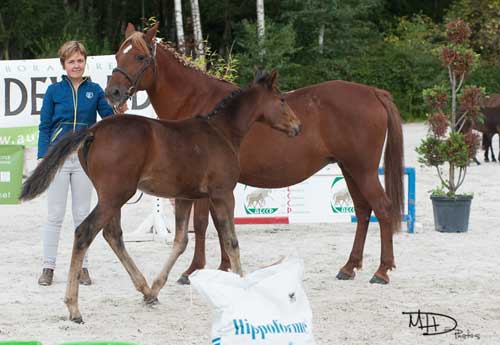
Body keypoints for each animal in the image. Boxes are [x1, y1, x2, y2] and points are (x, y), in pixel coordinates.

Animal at [19, 70, 300, 322]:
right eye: (281, 99)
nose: (298, 126)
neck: (221, 133)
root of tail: (94, 130)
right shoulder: (222, 194)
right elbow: (231, 241)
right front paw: (243, 287)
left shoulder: (186, 197)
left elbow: (180, 241)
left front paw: (156, 287)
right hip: (115, 195)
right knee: (84, 233)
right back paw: (74, 308)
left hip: (111, 197)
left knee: (113, 235)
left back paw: (144, 290)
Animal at [106, 22, 406, 284]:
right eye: (118, 55)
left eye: (140, 56)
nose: (113, 92)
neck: (200, 102)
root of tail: (373, 92)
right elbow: (220, 224)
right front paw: (224, 266)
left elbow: (202, 224)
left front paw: (193, 270)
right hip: (349, 169)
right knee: (363, 211)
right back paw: (349, 266)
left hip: (363, 170)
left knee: (382, 208)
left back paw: (382, 270)